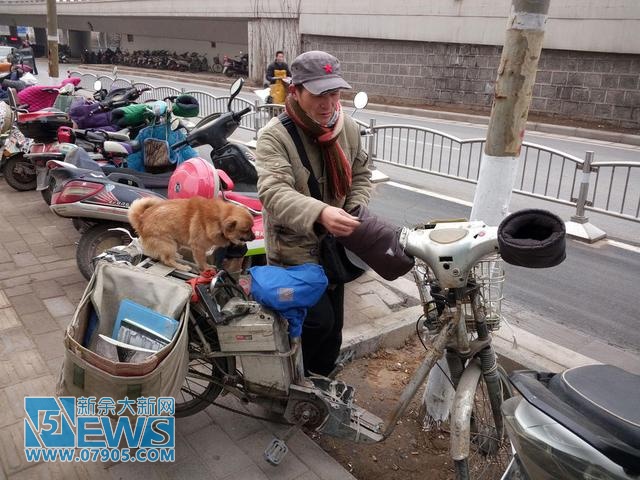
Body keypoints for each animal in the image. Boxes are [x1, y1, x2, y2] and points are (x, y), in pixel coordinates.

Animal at [127, 195, 255, 270]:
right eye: (245, 230)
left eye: (252, 228)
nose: (254, 237)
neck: (219, 219)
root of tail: (141, 220)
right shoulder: (198, 247)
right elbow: (202, 261)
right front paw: (206, 268)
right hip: (168, 244)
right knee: (167, 260)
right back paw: (182, 267)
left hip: (175, 242)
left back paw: (177, 256)